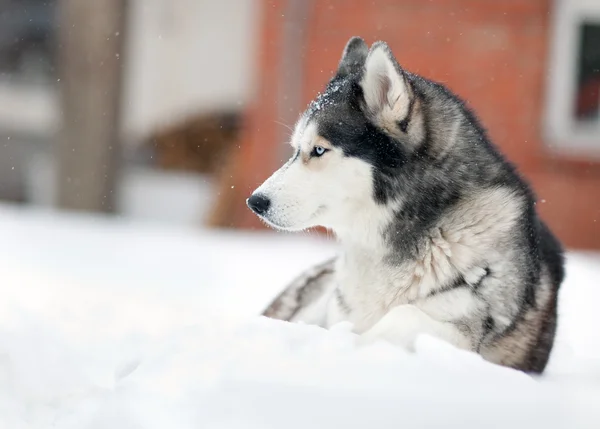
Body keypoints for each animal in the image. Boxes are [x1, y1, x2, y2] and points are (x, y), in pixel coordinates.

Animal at [246, 37, 564, 372]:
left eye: (318, 150)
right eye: (296, 149)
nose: (255, 202)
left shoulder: (461, 332)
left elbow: (403, 315)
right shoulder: (334, 308)